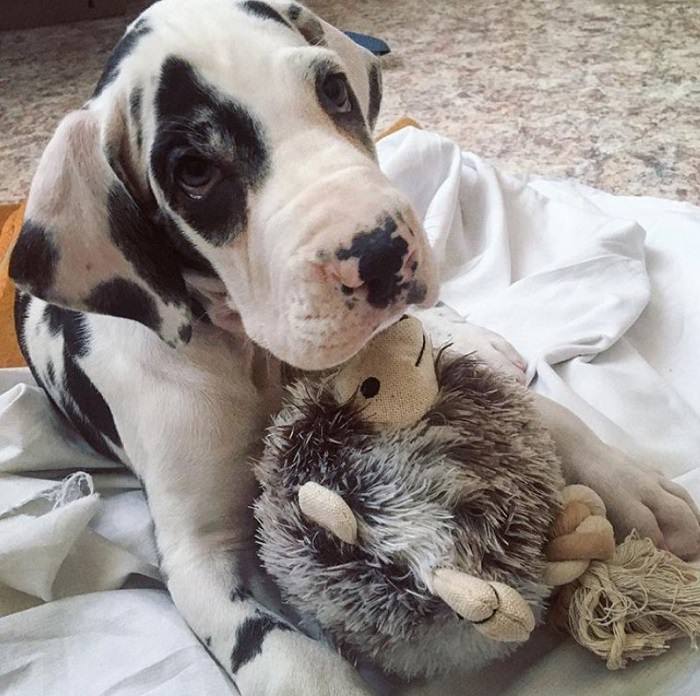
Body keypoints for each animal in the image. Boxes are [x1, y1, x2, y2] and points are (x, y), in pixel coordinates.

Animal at [10, 1, 700, 696]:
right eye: (194, 170)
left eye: (334, 91)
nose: (380, 251)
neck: (256, 356)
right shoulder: (195, 553)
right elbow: (288, 657)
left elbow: (546, 418)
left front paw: (632, 488)